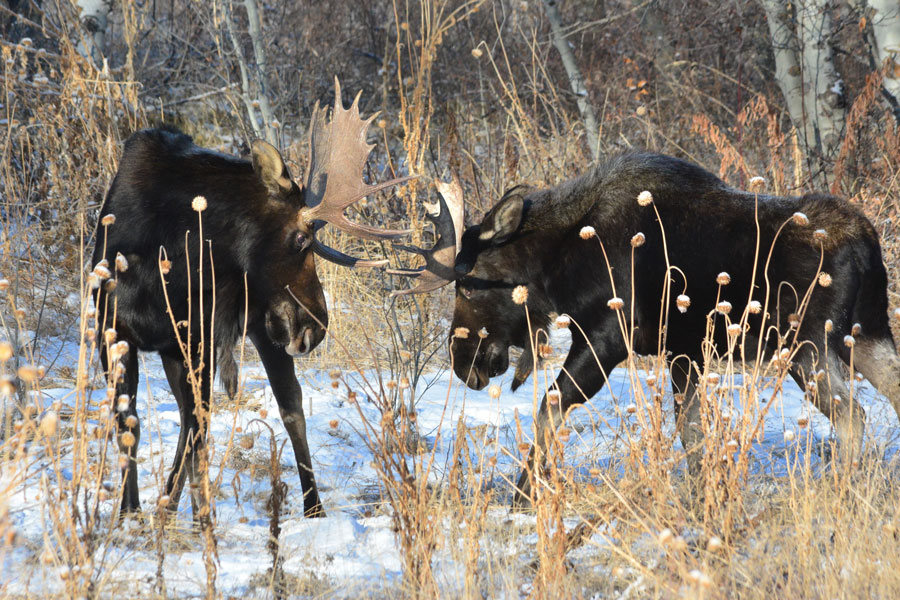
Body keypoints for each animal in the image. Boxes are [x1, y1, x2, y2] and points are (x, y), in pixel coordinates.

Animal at [92, 79, 411, 519]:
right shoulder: (114, 331)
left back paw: (313, 507)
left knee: (290, 408)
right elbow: (131, 424)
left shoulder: (198, 339)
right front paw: (131, 513)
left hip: (261, 334)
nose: (317, 324)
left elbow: (197, 427)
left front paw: (184, 513)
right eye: (301, 238)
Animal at [391, 152, 900, 508]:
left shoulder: (609, 336)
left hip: (807, 344)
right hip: (868, 334)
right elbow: (692, 432)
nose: (464, 364)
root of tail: (868, 246)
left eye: (468, 285)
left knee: (853, 416)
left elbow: (550, 408)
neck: (555, 263)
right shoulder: (684, 352)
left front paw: (522, 497)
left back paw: (842, 491)